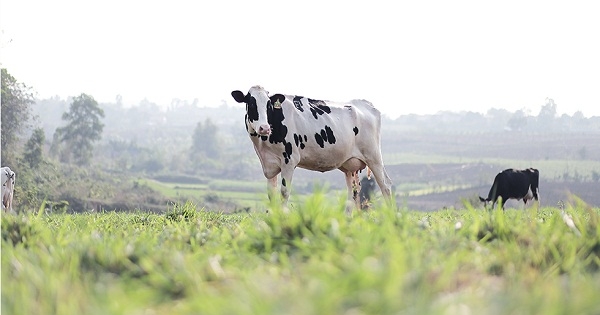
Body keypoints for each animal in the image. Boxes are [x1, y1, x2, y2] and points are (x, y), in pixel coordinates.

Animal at [231, 86, 394, 215]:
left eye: (269, 105)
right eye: (251, 103)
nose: (264, 128)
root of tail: (366, 104)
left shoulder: (289, 160)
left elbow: (284, 192)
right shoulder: (270, 164)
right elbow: (271, 194)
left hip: (373, 156)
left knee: (385, 185)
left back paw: (390, 217)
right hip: (349, 164)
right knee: (353, 190)